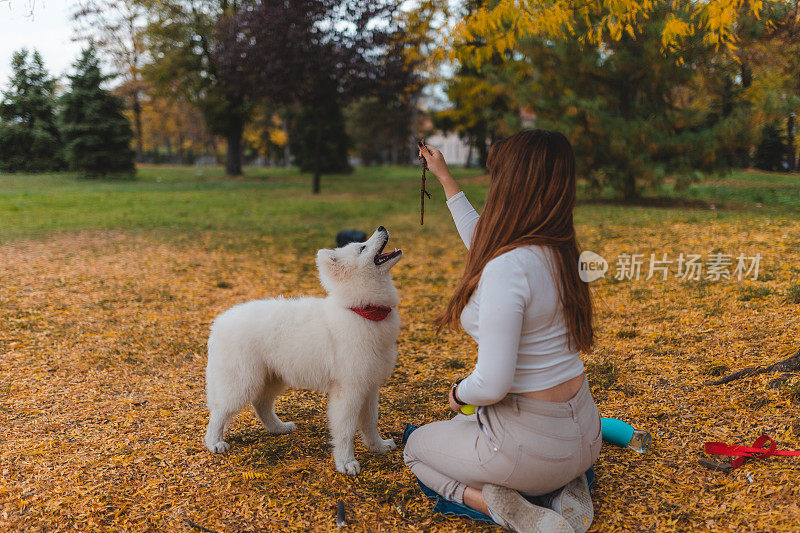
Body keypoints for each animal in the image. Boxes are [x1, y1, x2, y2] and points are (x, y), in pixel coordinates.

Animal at [203, 224, 404, 474]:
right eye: (362, 247)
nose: (381, 227)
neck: (362, 311)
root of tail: (219, 322)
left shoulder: (369, 387)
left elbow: (370, 423)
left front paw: (378, 447)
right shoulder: (349, 391)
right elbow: (346, 430)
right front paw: (346, 463)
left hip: (272, 378)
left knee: (261, 405)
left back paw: (278, 427)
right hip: (242, 384)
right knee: (219, 412)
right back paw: (214, 443)